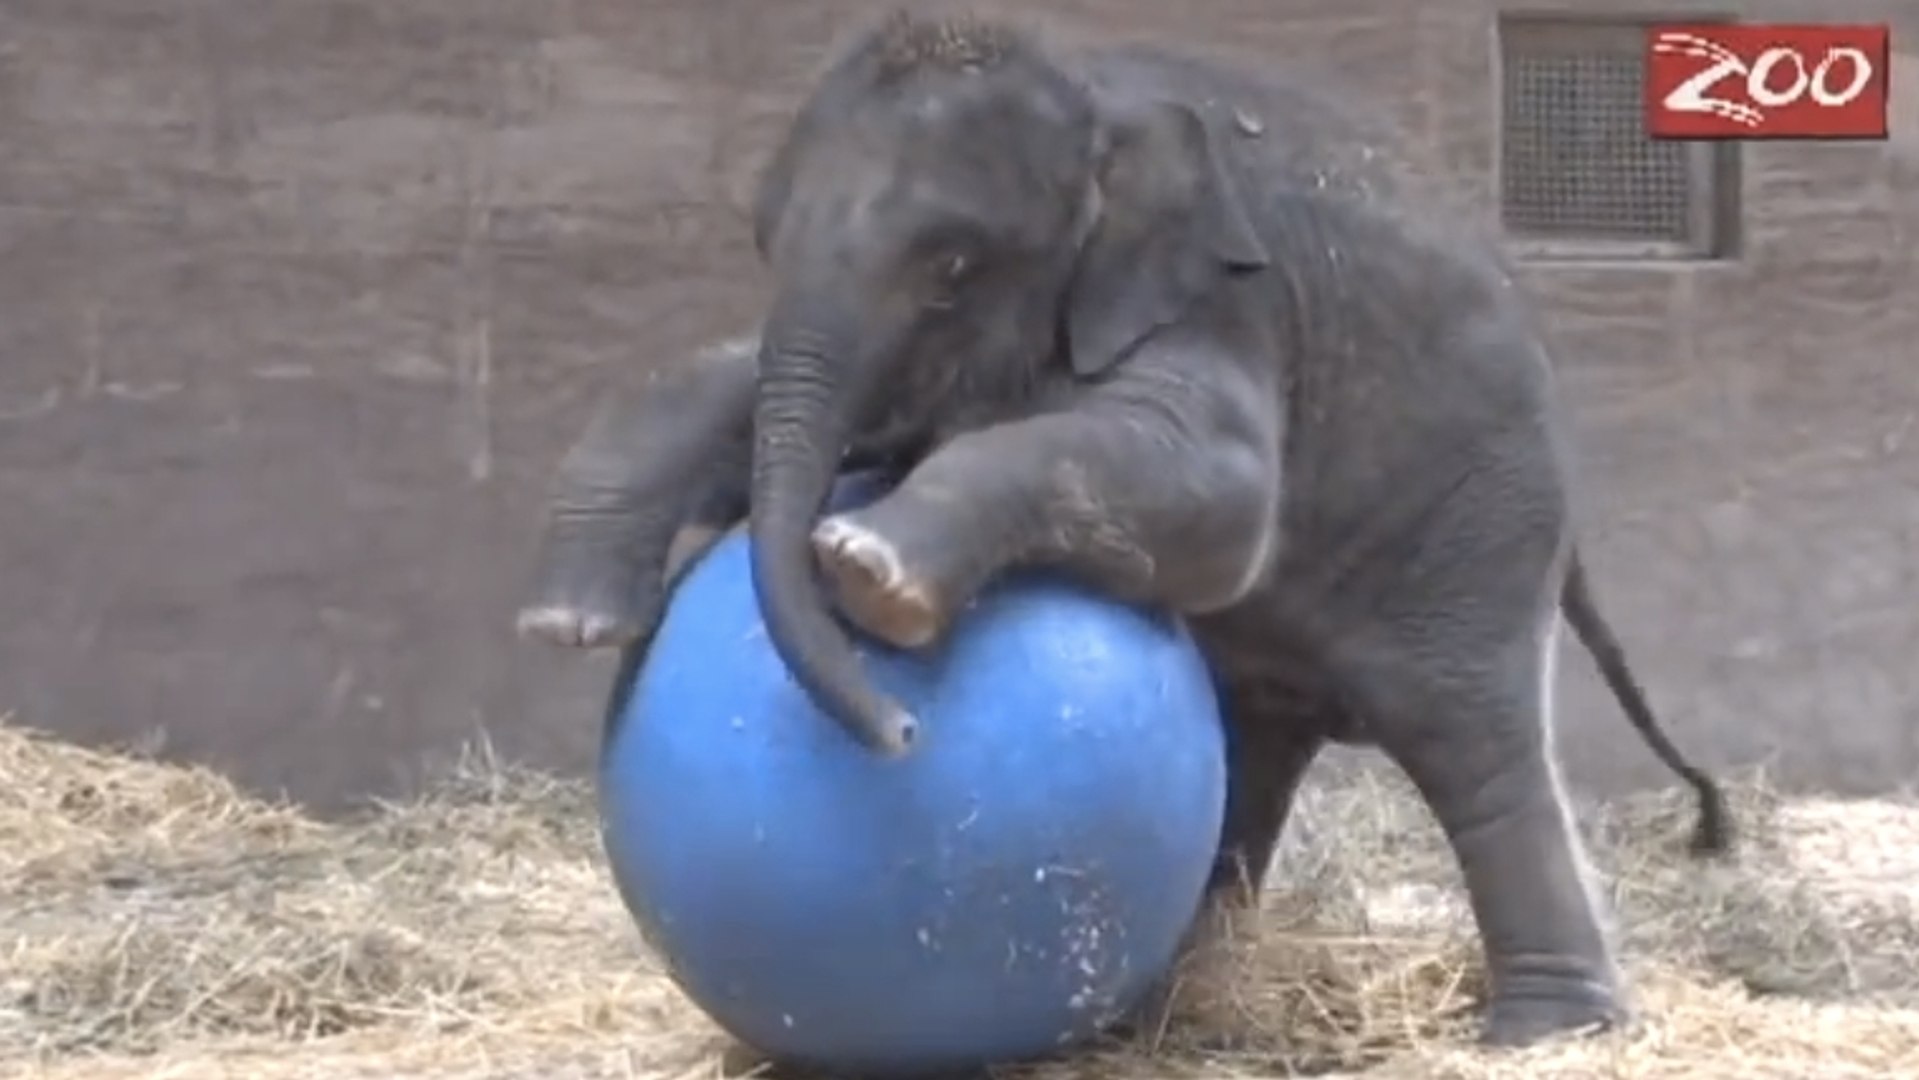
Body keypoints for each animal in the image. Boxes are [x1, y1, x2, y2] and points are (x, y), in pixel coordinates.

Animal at [518, 12, 1732, 1048]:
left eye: (950, 267)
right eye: (763, 239)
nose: (902, 732)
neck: (1095, 93)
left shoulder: (1226, 300)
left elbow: (1221, 490)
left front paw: (869, 570)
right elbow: (751, 377)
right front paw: (567, 619)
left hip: (1475, 514)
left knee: (1471, 744)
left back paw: (1548, 1031)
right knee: (1249, 754)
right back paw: (1164, 1010)